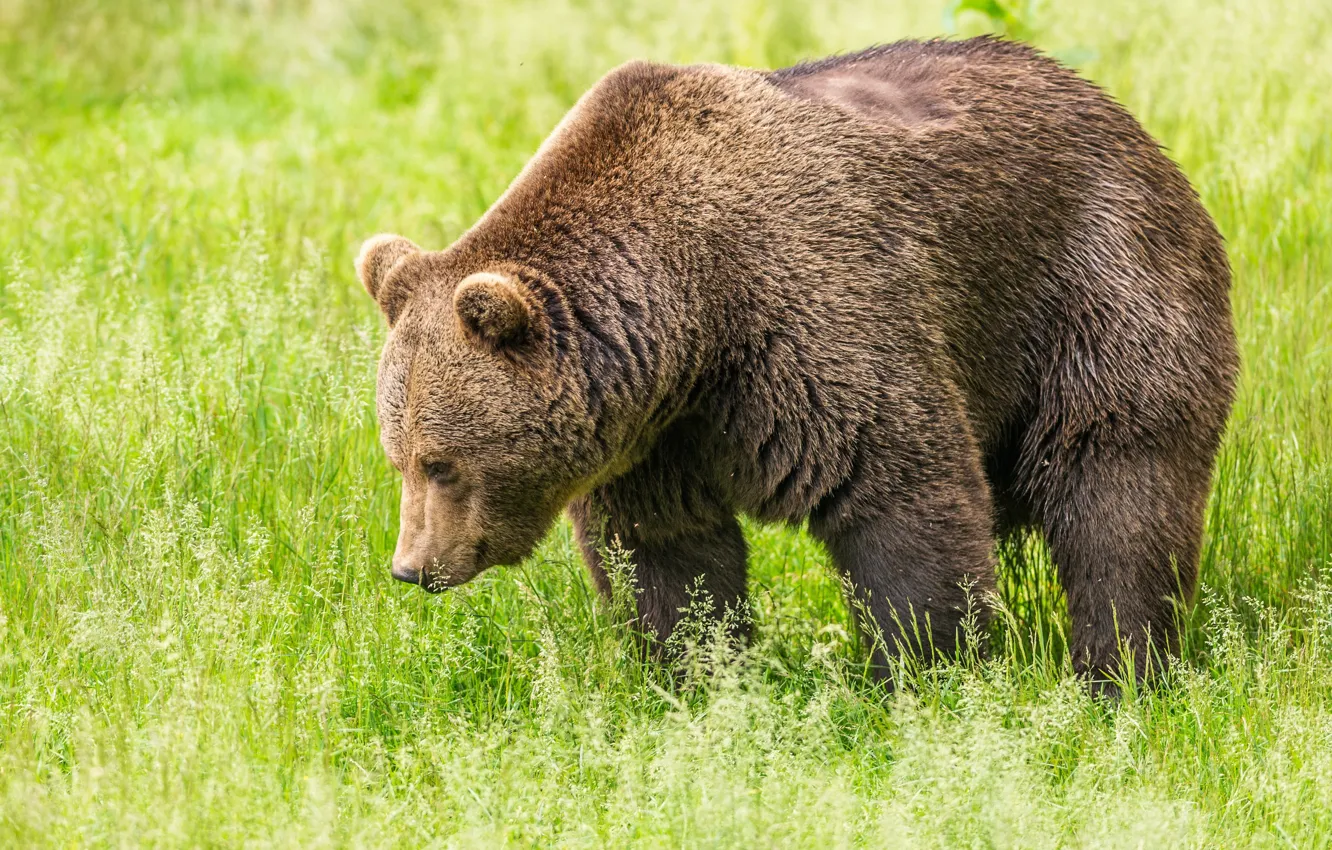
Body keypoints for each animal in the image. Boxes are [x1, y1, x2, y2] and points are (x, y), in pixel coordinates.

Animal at [355, 37, 1238, 688]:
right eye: (397, 456)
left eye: (441, 463)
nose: (412, 568)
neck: (693, 313)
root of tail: (1123, 116)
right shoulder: (655, 434)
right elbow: (668, 557)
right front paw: (698, 679)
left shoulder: (813, 315)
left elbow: (902, 495)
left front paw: (923, 673)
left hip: (1093, 289)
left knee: (1118, 487)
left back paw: (1118, 671)